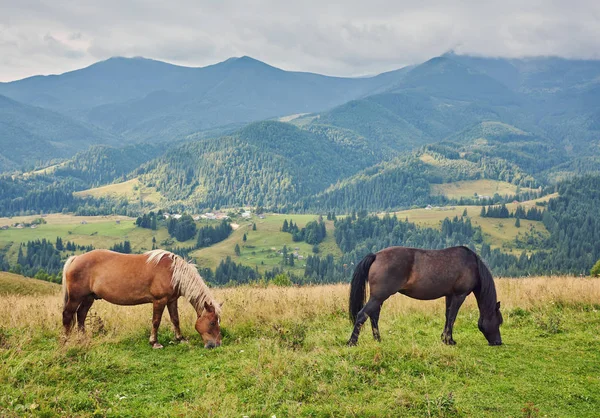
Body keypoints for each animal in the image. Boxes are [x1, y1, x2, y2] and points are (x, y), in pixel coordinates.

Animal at [62, 250, 223, 348]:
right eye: (212, 322)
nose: (216, 344)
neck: (173, 272)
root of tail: (76, 258)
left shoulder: (171, 300)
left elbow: (175, 319)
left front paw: (180, 338)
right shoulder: (159, 301)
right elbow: (156, 321)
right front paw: (154, 342)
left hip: (88, 298)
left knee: (81, 315)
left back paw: (83, 339)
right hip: (76, 298)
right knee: (68, 315)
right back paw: (66, 341)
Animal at [346, 245, 502, 346]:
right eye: (499, 321)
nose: (498, 342)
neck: (472, 265)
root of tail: (375, 256)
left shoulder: (449, 295)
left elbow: (448, 316)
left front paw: (445, 339)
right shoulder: (460, 295)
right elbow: (452, 317)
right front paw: (449, 341)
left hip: (379, 297)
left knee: (373, 316)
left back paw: (378, 340)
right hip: (379, 296)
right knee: (362, 315)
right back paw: (352, 342)